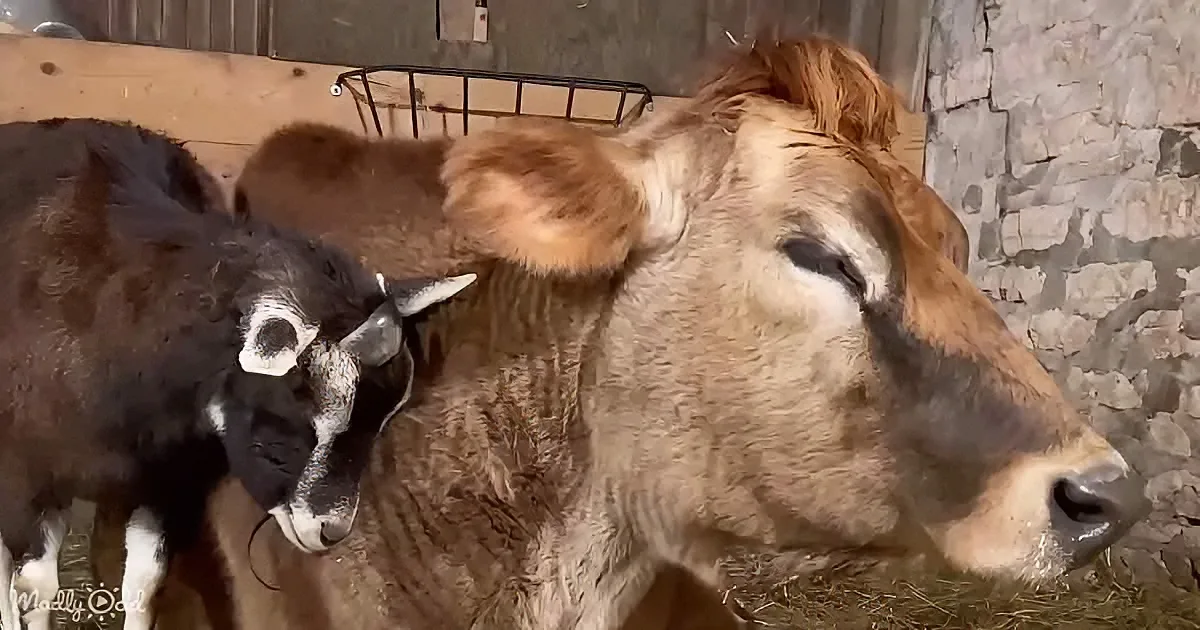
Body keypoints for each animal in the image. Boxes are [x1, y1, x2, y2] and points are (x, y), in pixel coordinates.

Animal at [0, 117, 475, 630]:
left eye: (383, 422)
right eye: (300, 401)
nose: (330, 531)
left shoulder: (169, 484)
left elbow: (143, 587)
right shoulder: (25, 476)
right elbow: (35, 588)